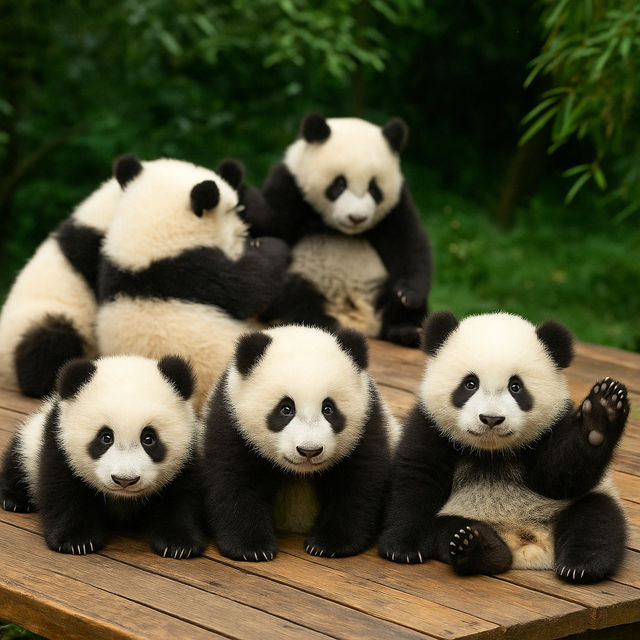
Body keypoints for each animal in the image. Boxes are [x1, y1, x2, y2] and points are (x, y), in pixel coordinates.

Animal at [0, 354, 206, 558]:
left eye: (149, 438)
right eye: (106, 437)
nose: (125, 480)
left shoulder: (188, 453)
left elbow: (182, 497)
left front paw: (179, 545)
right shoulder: (59, 440)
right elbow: (62, 489)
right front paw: (76, 541)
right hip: (30, 441)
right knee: (17, 458)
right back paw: (14, 499)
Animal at [97, 154, 290, 411]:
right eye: (232, 211)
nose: (244, 232)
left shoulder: (110, 268)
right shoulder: (198, 270)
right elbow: (252, 285)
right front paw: (271, 247)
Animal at [202, 324, 401, 561]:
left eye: (328, 409)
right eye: (286, 409)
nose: (309, 450)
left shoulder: (368, 424)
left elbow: (358, 483)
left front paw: (328, 544)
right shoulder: (231, 421)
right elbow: (234, 479)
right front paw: (251, 548)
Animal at [246, 114, 432, 348]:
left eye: (374, 188)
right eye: (339, 184)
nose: (357, 218)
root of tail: (362, 324)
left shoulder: (396, 204)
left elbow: (408, 244)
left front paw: (407, 294)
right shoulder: (291, 184)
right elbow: (272, 222)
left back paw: (407, 331)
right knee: (292, 296)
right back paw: (323, 324)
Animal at [378, 311, 629, 583]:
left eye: (515, 387)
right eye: (470, 384)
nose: (491, 419)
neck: (491, 451)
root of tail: (527, 545)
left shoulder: (551, 427)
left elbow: (560, 476)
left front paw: (600, 413)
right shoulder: (430, 426)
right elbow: (416, 479)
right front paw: (402, 548)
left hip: (573, 506)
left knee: (596, 517)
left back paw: (582, 566)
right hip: (464, 513)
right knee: (449, 529)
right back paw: (478, 547)